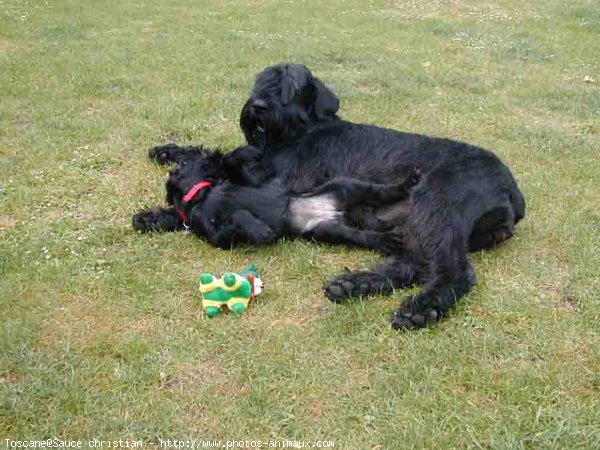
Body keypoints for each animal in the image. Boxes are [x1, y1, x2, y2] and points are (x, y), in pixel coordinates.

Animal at [132, 146, 422, 251]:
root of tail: (335, 213)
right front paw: (261, 230)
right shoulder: (218, 237)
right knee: (361, 236)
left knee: (382, 192)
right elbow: (236, 217)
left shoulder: (254, 182)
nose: (213, 154)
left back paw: (408, 184)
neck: (203, 195)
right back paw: (387, 240)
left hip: (344, 185)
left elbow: (235, 165)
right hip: (327, 231)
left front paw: (242, 152)